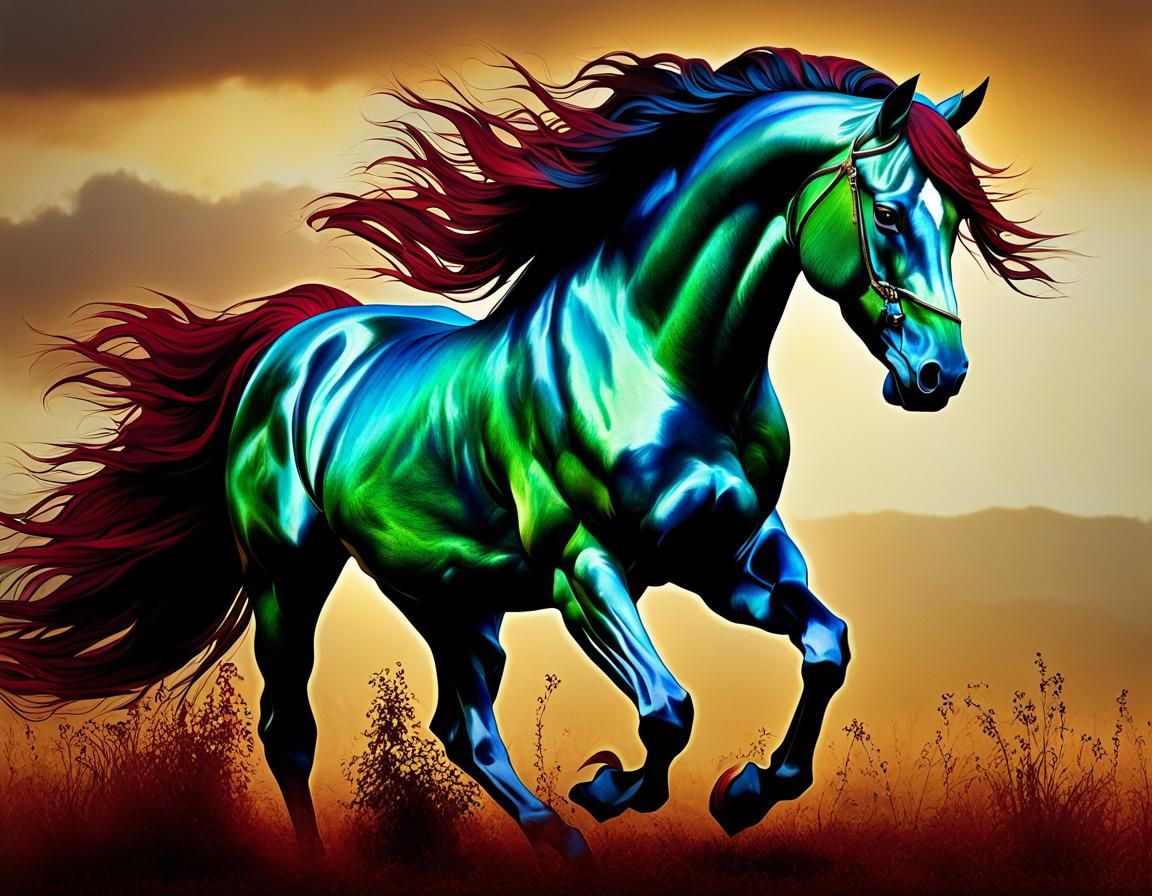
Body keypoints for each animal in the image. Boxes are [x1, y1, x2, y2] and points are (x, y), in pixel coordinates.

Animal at [0, 48, 1057, 859]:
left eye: (959, 223)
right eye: (891, 215)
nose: (938, 374)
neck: (665, 364)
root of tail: (292, 344)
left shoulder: (732, 560)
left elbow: (827, 648)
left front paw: (746, 791)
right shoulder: (587, 571)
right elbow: (668, 710)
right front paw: (615, 787)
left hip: (448, 596)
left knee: (461, 727)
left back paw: (558, 839)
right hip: (289, 575)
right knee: (289, 731)